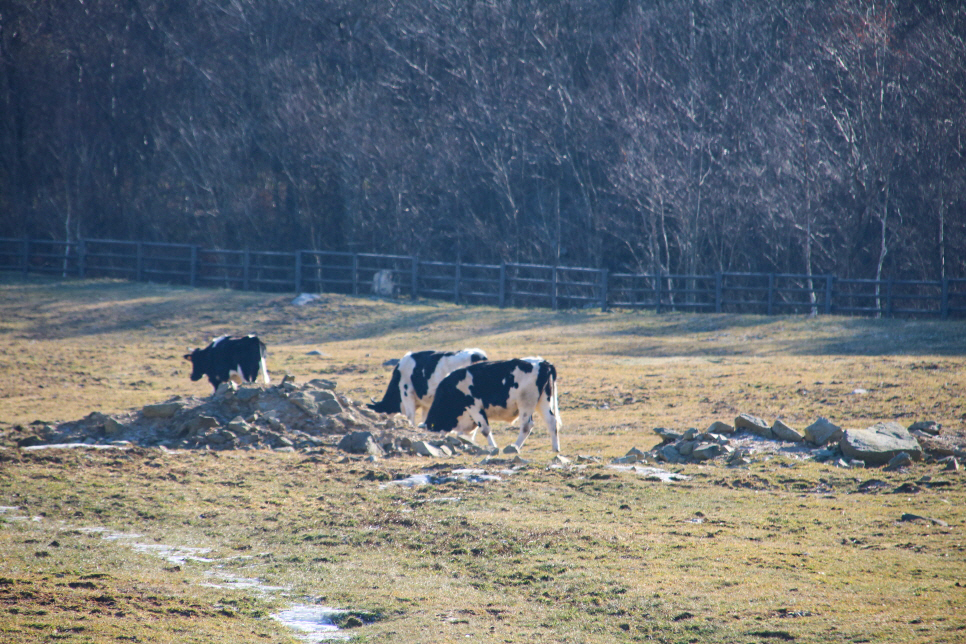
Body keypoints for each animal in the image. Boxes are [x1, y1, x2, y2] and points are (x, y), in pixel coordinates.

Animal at [424, 358, 560, 452]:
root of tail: (544, 363)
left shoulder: (474, 406)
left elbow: (484, 429)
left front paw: (493, 447)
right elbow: (468, 433)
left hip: (526, 402)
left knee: (527, 425)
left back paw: (515, 446)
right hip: (543, 400)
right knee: (551, 421)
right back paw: (555, 448)